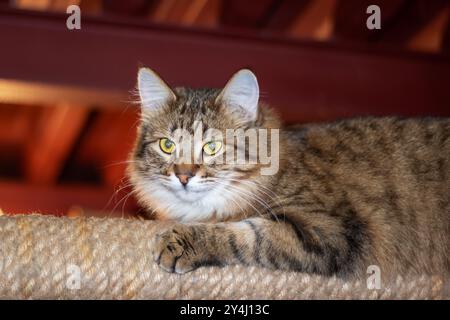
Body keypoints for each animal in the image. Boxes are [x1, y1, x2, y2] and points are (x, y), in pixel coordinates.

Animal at [127, 67, 450, 278]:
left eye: (212, 146)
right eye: (167, 145)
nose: (183, 176)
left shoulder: (327, 231)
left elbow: (245, 235)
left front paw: (180, 242)